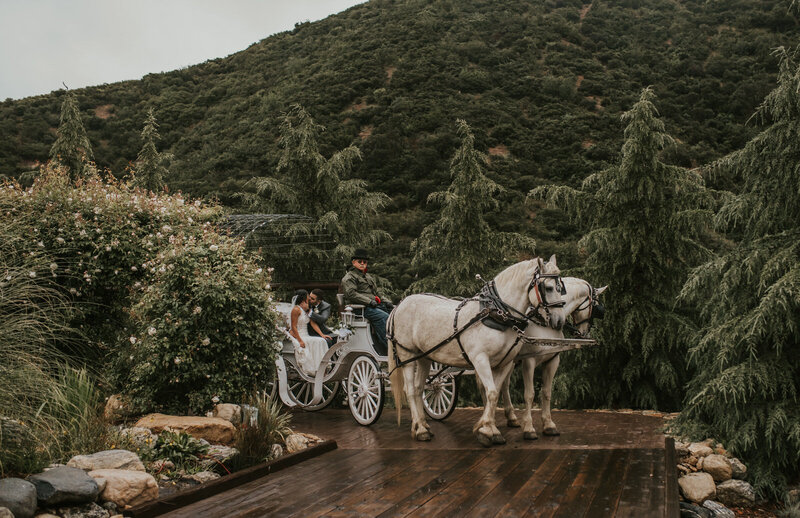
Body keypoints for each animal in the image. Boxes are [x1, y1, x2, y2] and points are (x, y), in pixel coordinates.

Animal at [390, 256, 564, 446]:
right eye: (549, 288)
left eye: (561, 288)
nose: (560, 321)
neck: (496, 314)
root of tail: (400, 304)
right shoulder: (480, 359)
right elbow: (492, 393)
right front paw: (487, 430)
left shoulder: (504, 363)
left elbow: (494, 393)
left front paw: (489, 427)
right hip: (407, 355)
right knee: (410, 390)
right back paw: (420, 429)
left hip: (424, 357)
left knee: (419, 388)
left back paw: (423, 425)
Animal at [494, 278, 608, 440]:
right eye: (596, 306)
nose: (584, 333)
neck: (544, 321)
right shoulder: (529, 362)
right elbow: (529, 394)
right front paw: (529, 428)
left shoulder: (553, 361)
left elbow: (546, 392)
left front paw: (548, 425)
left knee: (503, 384)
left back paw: (510, 418)